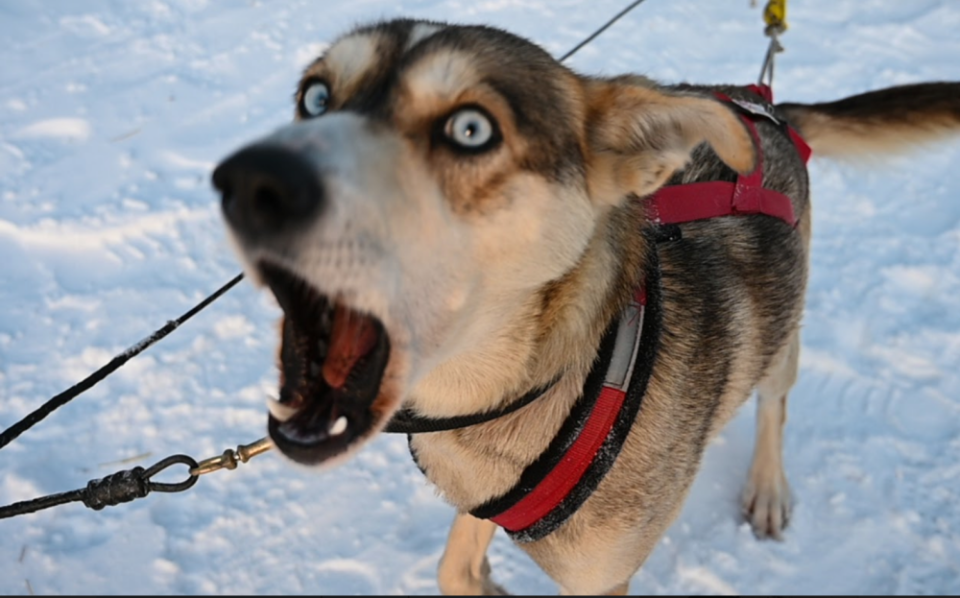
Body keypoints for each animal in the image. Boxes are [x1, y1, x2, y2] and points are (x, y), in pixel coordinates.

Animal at [212, 17, 960, 596]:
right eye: (315, 97)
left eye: (471, 129)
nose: (251, 179)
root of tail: (757, 103)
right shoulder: (483, 497)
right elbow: (455, 565)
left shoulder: (603, 575)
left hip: (781, 333)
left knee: (774, 402)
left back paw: (768, 487)